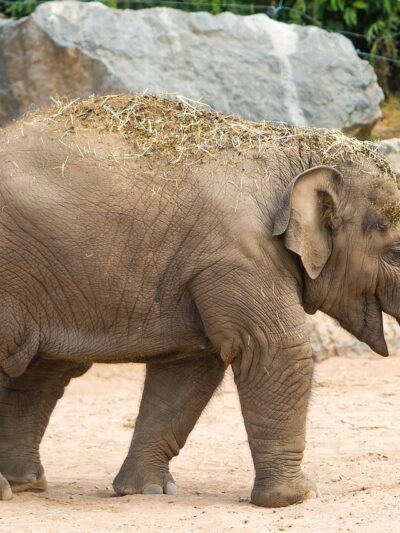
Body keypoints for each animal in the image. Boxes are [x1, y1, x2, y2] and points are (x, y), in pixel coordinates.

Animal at [0, 92, 398, 508]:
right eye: (396, 252)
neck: (296, 151)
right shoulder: (241, 259)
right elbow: (276, 349)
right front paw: (297, 496)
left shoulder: (199, 271)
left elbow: (188, 371)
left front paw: (146, 491)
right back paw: (9, 490)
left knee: (46, 368)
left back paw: (25, 484)